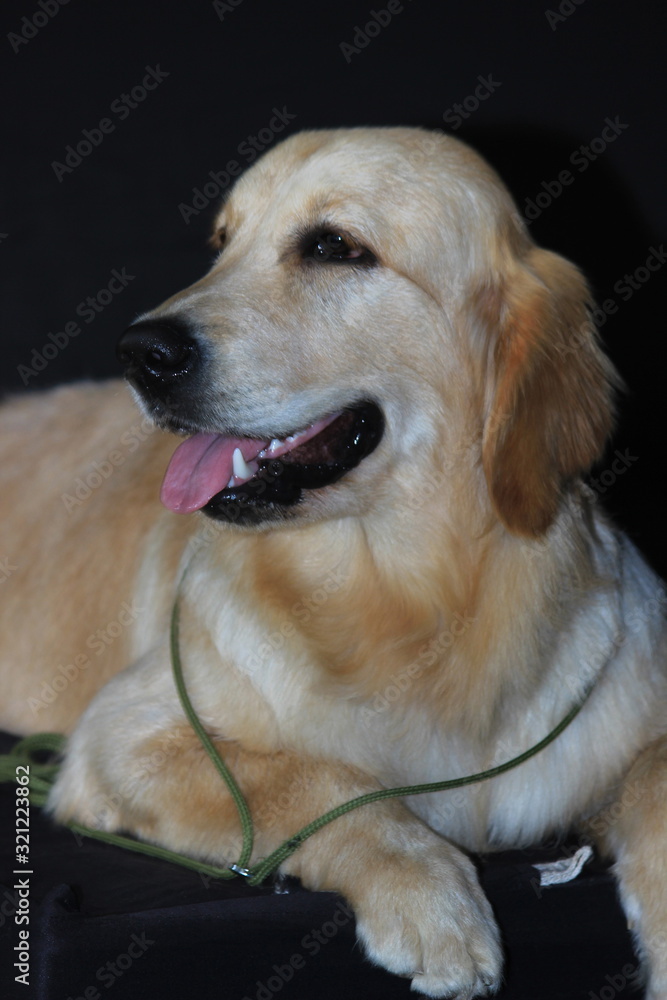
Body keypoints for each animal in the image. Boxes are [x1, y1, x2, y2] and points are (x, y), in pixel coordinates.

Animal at [1, 129, 667, 996]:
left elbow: (656, 773)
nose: (139, 353)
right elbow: (311, 780)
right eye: (222, 243)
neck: (411, 597)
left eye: (333, 246)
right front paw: (429, 899)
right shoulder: (123, 733)